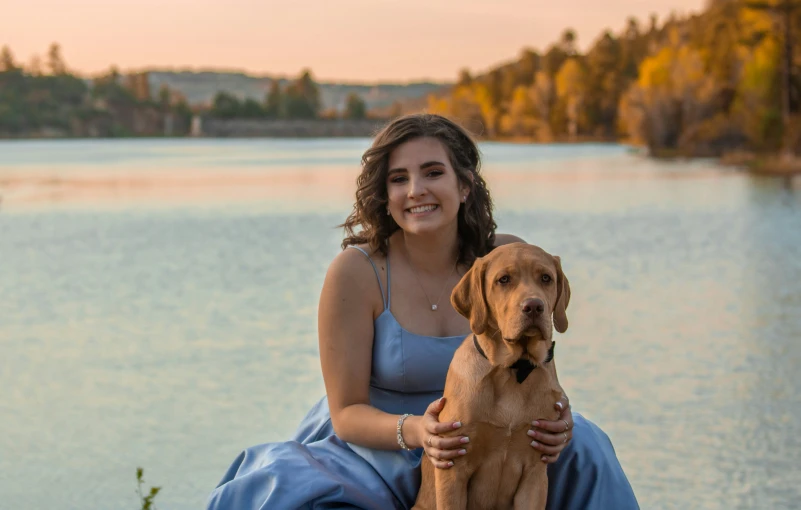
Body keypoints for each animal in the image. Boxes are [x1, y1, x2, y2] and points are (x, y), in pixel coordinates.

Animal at [412, 243, 568, 510]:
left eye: (546, 278)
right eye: (503, 280)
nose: (534, 306)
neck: (513, 369)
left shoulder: (535, 474)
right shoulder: (453, 468)